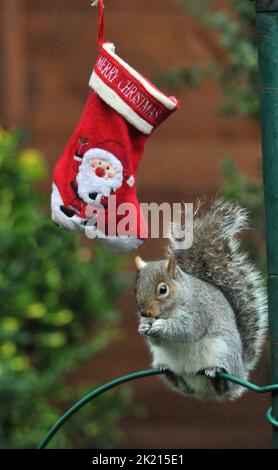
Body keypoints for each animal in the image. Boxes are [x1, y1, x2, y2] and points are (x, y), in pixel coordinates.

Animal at [134, 199, 268, 400]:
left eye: (163, 289)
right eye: (136, 288)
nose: (145, 313)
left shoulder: (198, 310)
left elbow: (188, 330)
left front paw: (162, 326)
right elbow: (156, 340)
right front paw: (143, 327)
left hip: (223, 351)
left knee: (224, 385)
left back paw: (217, 375)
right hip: (165, 360)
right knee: (182, 385)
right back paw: (169, 372)